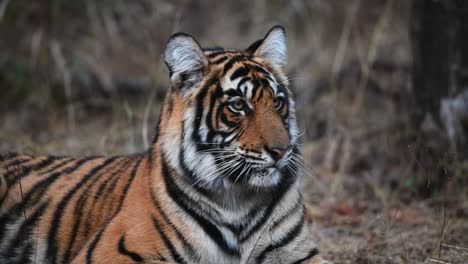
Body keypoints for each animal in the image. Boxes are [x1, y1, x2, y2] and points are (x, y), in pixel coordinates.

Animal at [0, 25, 330, 264]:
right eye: (238, 104)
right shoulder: (115, 251)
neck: (239, 199)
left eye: (277, 103)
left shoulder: (298, 253)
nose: (281, 151)